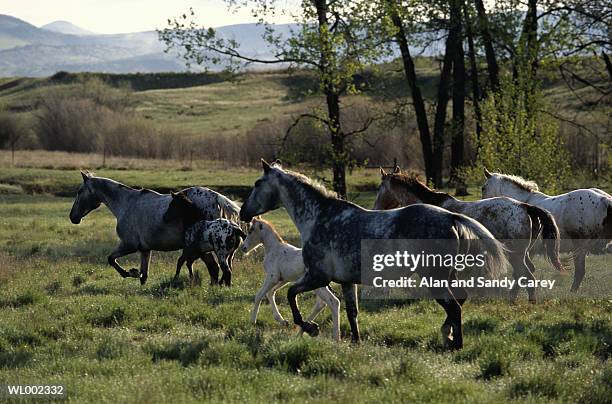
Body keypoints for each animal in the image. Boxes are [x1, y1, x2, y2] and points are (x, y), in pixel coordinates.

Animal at [67, 170, 239, 284]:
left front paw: (130, 272)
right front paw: (137, 275)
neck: (126, 204)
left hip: (204, 249)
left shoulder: (129, 245)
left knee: (215, 268)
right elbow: (144, 276)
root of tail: (217, 198)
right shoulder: (145, 249)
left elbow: (111, 259)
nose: (72, 217)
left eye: (80, 191)